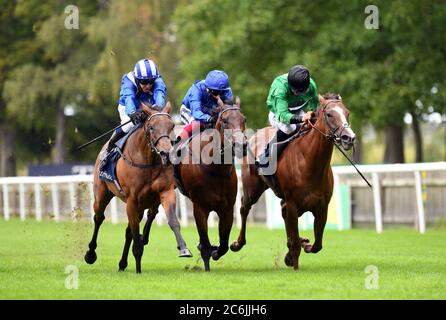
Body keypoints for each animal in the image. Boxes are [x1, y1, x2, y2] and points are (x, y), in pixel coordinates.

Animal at [84, 102, 191, 272]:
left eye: (172, 126)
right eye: (152, 127)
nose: (166, 153)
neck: (148, 161)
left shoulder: (165, 193)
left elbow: (173, 221)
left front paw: (184, 248)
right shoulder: (132, 200)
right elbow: (134, 233)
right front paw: (138, 269)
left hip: (142, 205)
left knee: (130, 230)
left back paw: (122, 264)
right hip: (102, 194)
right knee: (99, 218)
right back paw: (90, 254)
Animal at [175, 97, 247, 270]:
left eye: (244, 119)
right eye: (225, 120)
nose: (241, 145)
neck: (216, 169)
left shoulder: (227, 208)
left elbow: (224, 245)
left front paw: (216, 251)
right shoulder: (200, 208)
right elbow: (205, 244)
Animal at [230, 93, 356, 270]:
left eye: (347, 112)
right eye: (329, 114)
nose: (348, 138)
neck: (310, 163)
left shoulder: (322, 207)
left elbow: (317, 245)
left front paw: (302, 245)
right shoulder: (293, 205)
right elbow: (297, 243)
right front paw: (295, 260)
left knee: (282, 213)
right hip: (252, 189)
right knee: (244, 208)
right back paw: (238, 243)